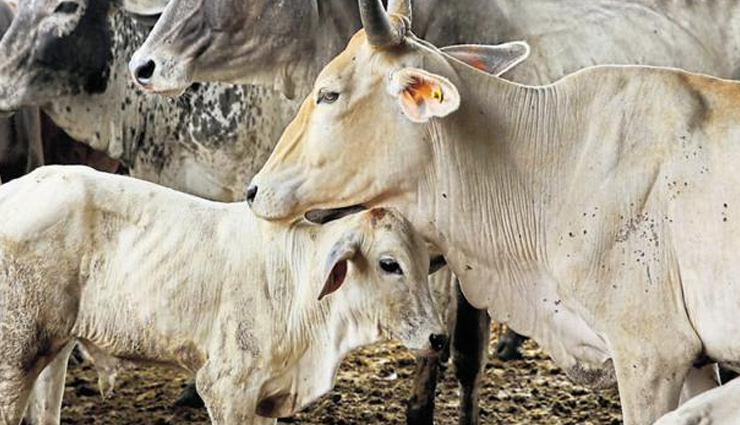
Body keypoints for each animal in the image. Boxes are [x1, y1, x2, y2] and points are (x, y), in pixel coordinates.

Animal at [0, 165, 447, 425]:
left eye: (426, 263)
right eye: (389, 264)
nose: (438, 338)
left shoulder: (268, 398)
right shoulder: (225, 386)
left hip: (54, 348)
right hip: (16, 353)